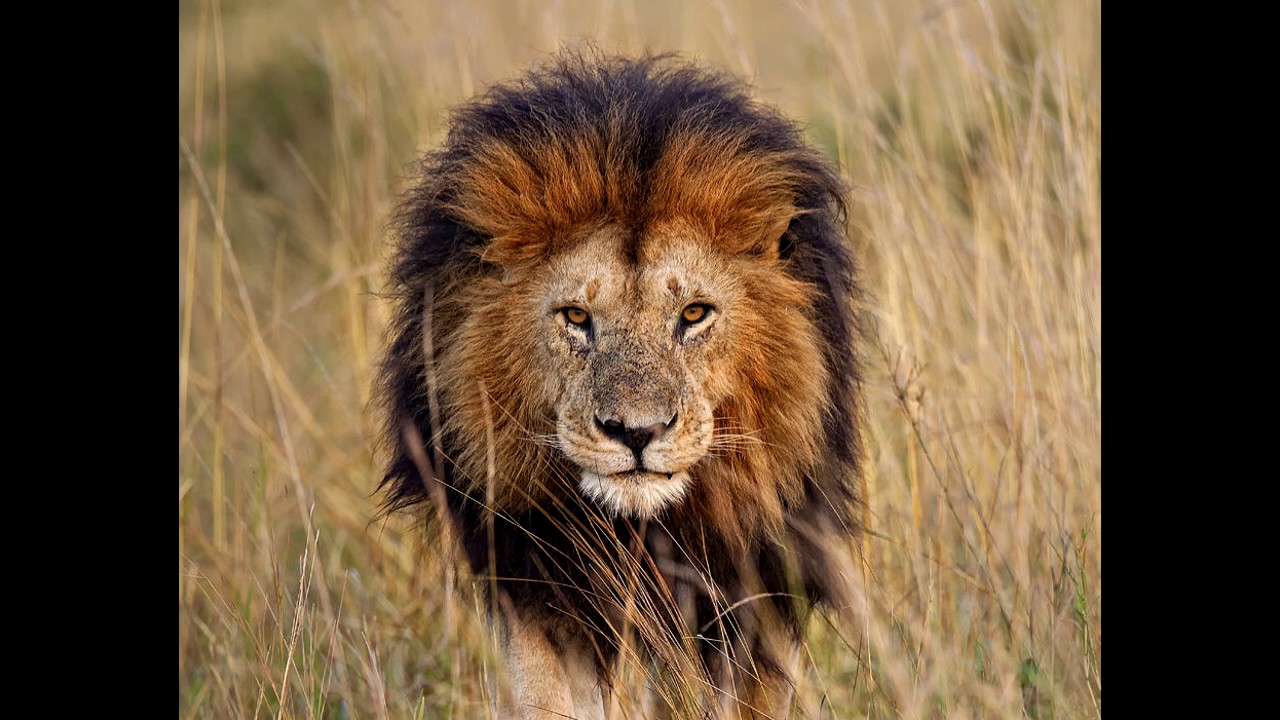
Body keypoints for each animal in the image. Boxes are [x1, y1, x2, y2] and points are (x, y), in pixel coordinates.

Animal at [378, 52, 864, 719]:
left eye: (693, 314)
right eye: (576, 317)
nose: (636, 433)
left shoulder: (758, 582)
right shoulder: (533, 576)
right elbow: (546, 696)